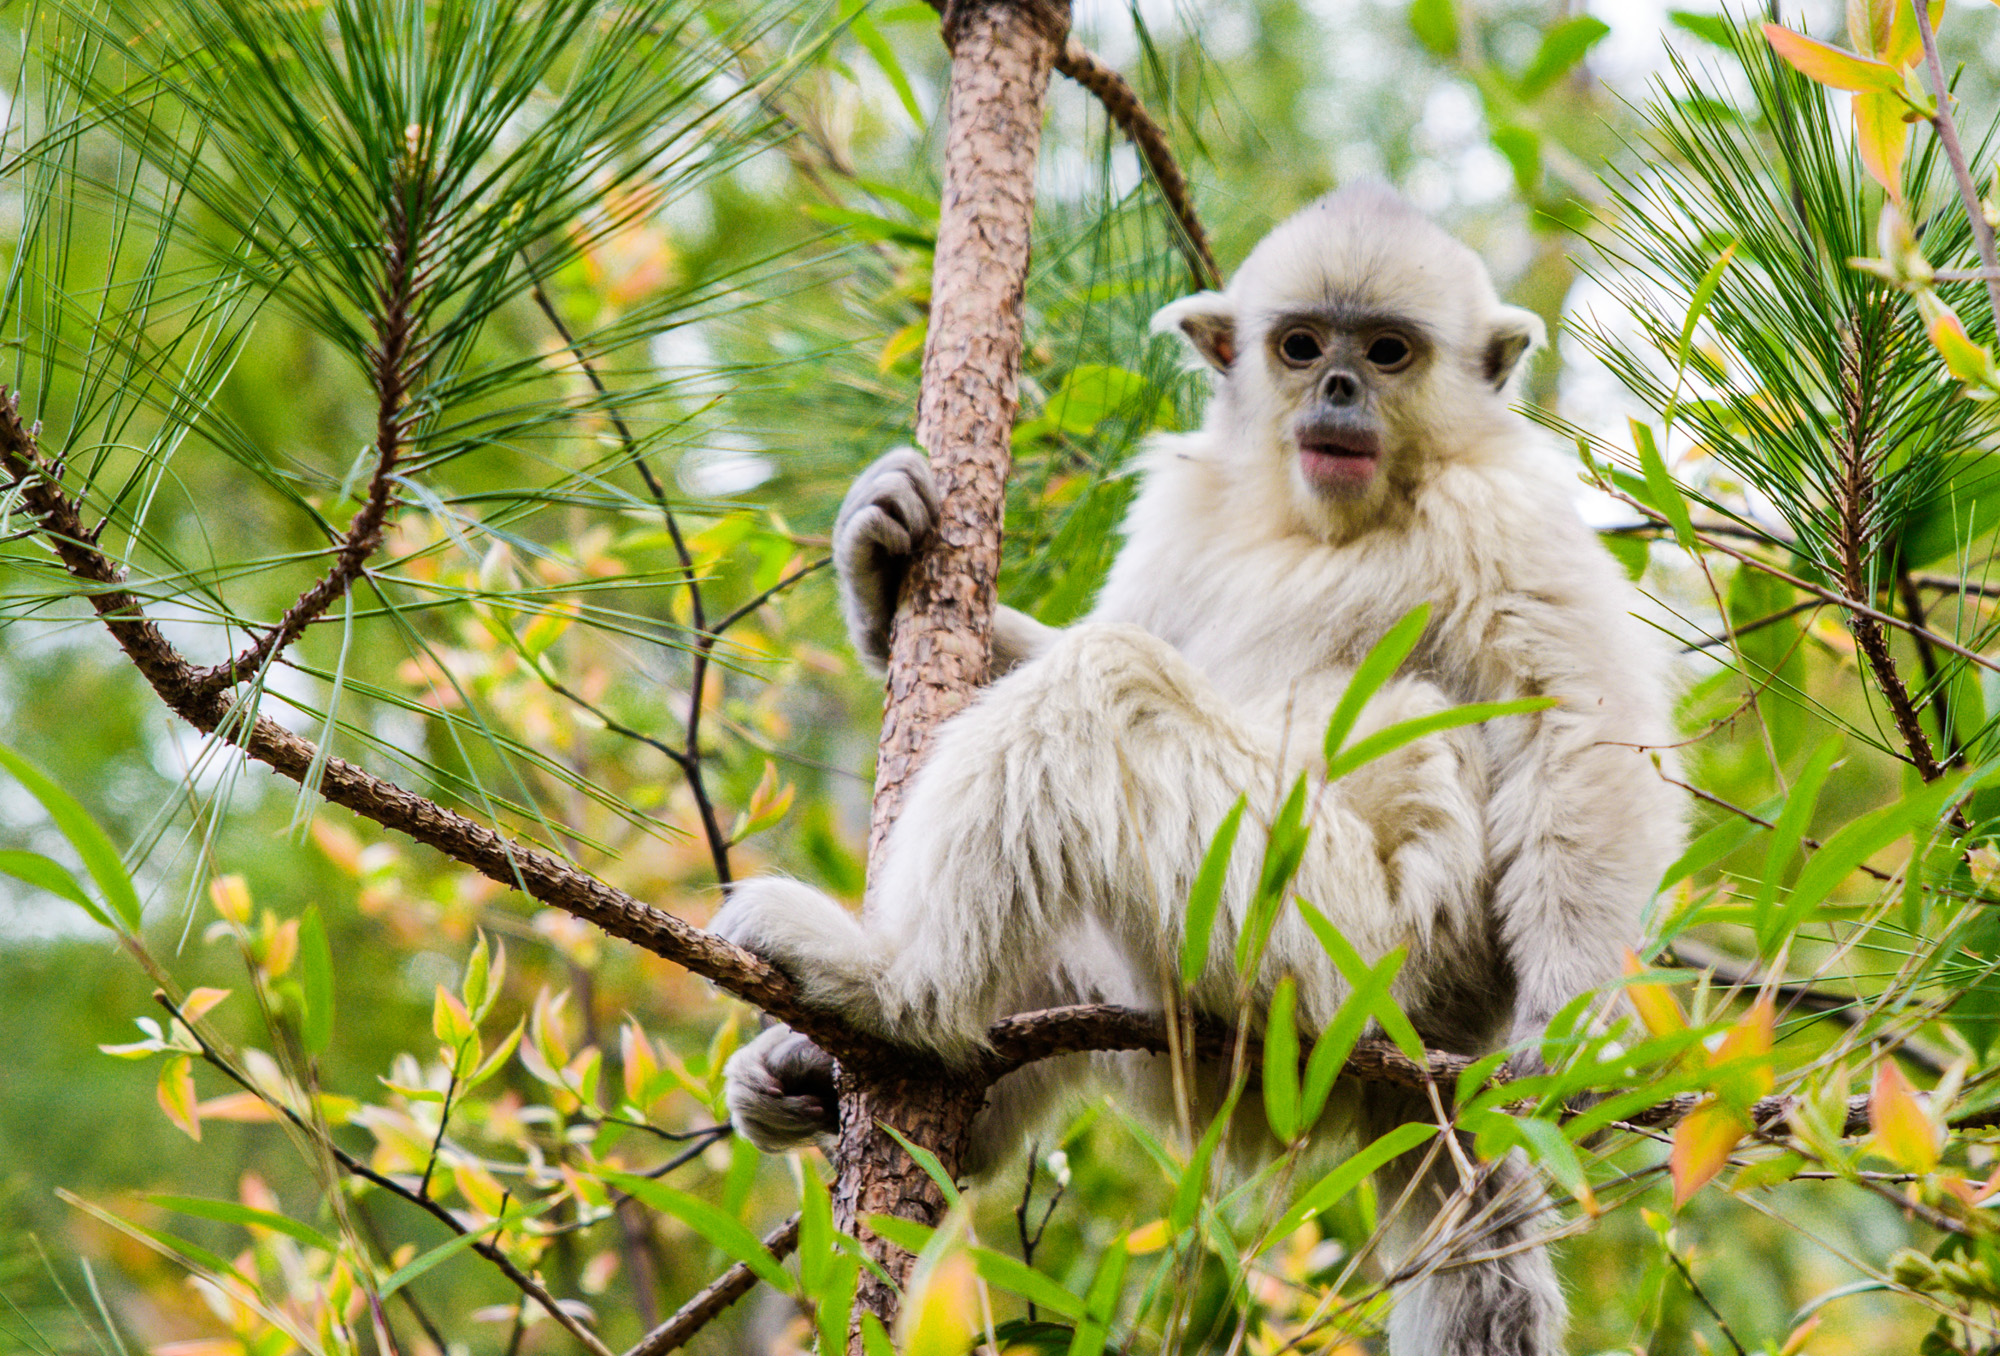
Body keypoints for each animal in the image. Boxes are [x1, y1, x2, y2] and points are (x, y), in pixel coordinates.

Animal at [712, 189, 1680, 1356]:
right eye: (1300, 346)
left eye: (1388, 352)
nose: (1339, 389)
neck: (1322, 517)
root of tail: (1435, 1054)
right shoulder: (1183, 507)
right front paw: (878, 569)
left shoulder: (1507, 505)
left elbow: (1578, 729)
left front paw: (1570, 1025)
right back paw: (827, 1082)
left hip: (1337, 960)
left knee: (1106, 688)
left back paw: (893, 990)